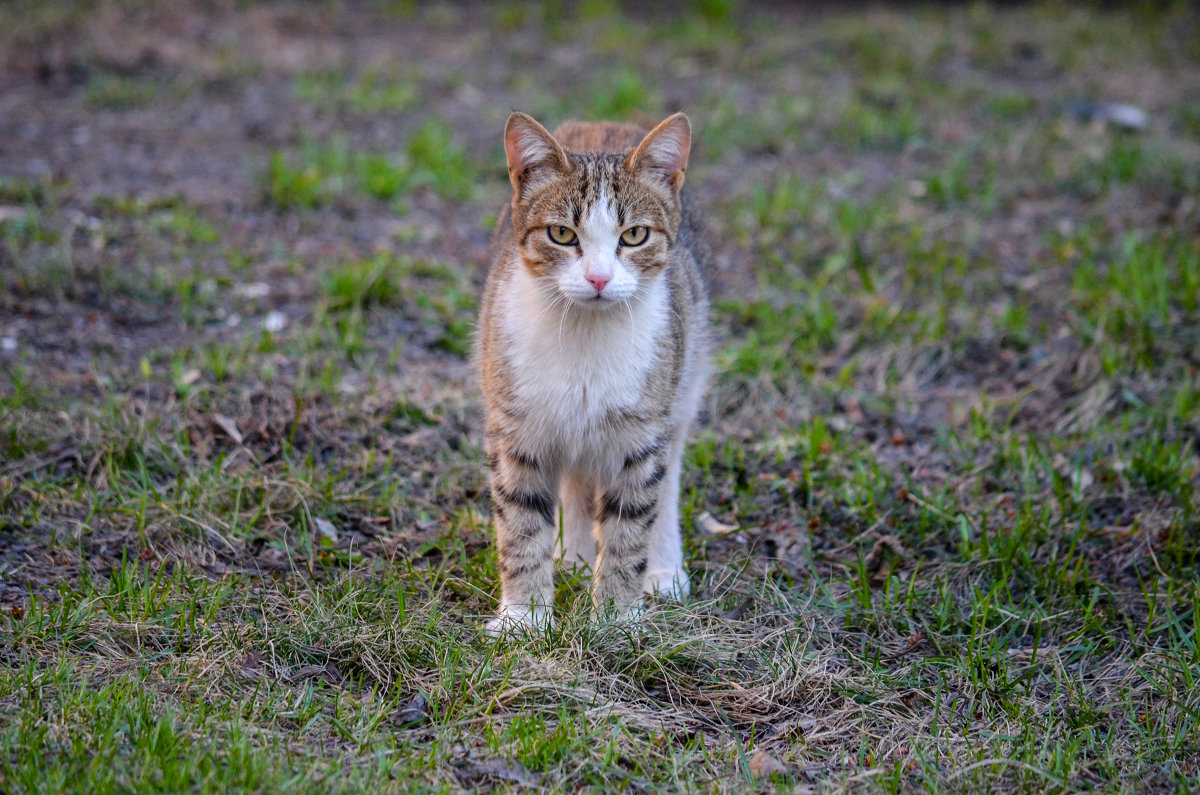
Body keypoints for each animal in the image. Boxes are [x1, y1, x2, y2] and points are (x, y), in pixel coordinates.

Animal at [472, 110, 705, 634]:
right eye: (562, 234)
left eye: (634, 235)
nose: (598, 278)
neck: (584, 336)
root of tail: (605, 121)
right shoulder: (517, 426)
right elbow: (521, 522)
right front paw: (524, 619)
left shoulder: (642, 433)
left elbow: (630, 525)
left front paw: (616, 619)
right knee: (576, 479)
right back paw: (573, 556)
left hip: (686, 376)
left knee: (668, 479)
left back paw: (663, 568)